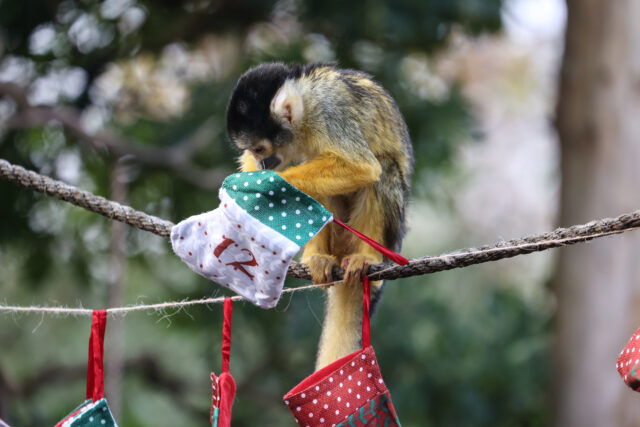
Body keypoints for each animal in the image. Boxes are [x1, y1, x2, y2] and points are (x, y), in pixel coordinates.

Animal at [226, 62, 413, 369]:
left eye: (260, 148)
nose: (263, 163)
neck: (305, 109)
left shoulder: (330, 111)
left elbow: (361, 166)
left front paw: (268, 184)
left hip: (389, 238)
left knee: (383, 168)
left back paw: (367, 256)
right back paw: (318, 257)